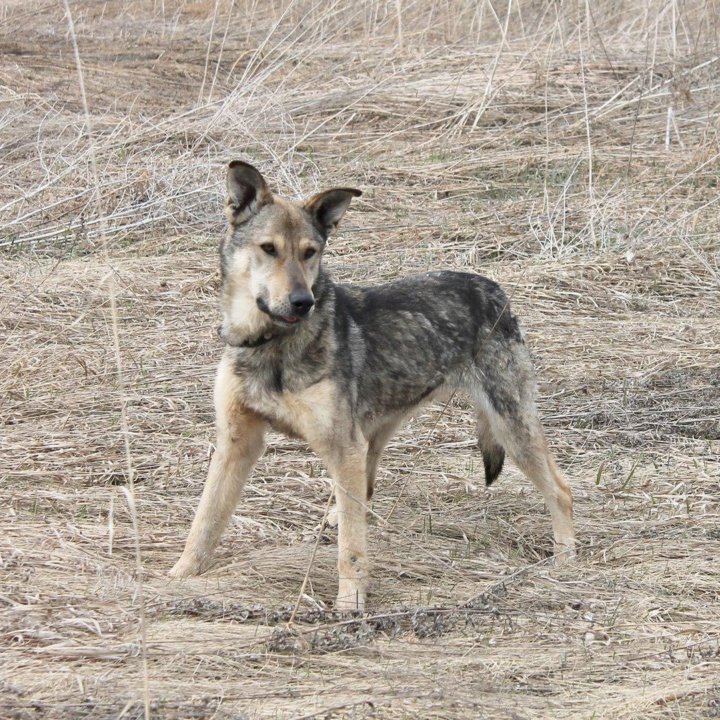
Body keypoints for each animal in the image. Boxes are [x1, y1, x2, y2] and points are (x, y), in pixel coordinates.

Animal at [167, 160, 572, 612]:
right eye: (268, 249)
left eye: (310, 252)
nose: (302, 302)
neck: (268, 343)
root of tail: (495, 289)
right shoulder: (237, 444)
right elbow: (205, 521)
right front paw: (179, 576)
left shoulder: (341, 448)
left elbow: (352, 549)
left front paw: (350, 604)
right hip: (375, 436)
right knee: (365, 491)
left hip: (509, 430)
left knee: (562, 490)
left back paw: (566, 559)